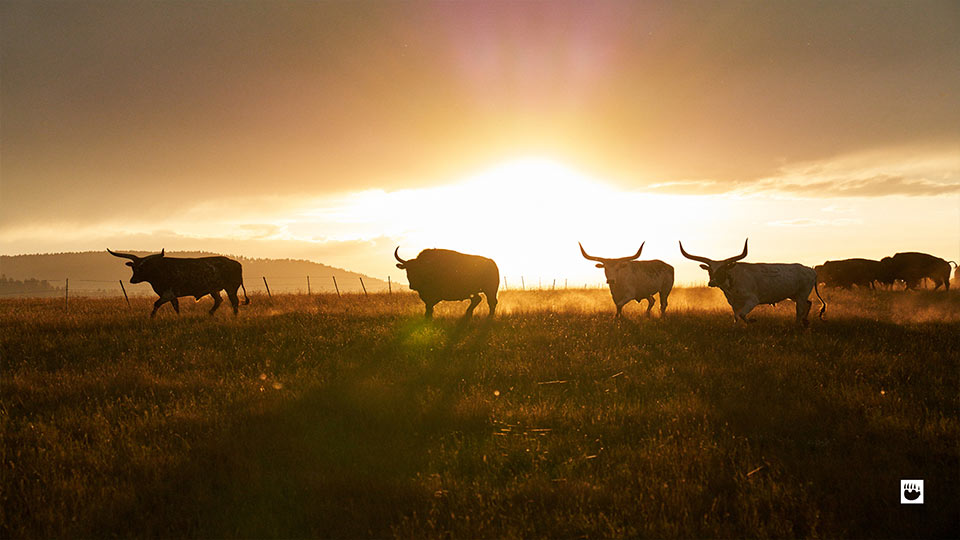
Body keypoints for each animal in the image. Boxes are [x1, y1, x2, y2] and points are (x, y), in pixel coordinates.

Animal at [107, 249, 249, 316]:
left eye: (142, 268)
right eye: (133, 268)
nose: (133, 280)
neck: (159, 270)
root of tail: (236, 263)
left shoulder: (167, 293)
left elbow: (156, 304)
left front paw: (151, 317)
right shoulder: (171, 295)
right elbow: (176, 307)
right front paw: (179, 317)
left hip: (231, 288)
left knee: (234, 302)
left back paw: (234, 316)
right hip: (214, 289)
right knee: (219, 300)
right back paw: (210, 313)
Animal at [676, 239, 824, 324]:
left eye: (722, 270)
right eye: (710, 270)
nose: (711, 282)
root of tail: (811, 270)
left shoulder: (752, 300)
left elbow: (742, 314)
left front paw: (751, 321)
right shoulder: (734, 304)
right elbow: (736, 317)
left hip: (801, 295)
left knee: (799, 310)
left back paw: (798, 325)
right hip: (795, 295)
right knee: (808, 304)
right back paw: (805, 322)